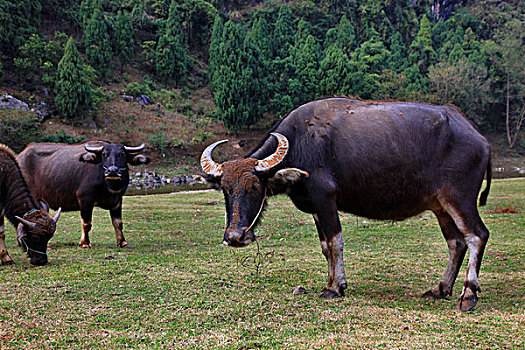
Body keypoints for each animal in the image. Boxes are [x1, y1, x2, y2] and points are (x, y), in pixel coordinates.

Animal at [17, 142, 149, 249]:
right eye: (104, 154)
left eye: (122, 154)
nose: (112, 171)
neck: (108, 186)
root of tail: (19, 157)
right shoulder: (85, 199)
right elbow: (87, 224)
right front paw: (85, 243)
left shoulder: (117, 200)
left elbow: (118, 223)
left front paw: (123, 242)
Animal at [201, 97, 492, 310]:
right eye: (225, 189)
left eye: (254, 187)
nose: (235, 237)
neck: (299, 142)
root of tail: (480, 139)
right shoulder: (316, 207)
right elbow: (325, 247)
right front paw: (331, 282)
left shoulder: (326, 199)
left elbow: (335, 242)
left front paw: (335, 287)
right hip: (440, 206)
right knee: (456, 242)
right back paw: (440, 289)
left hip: (459, 198)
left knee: (477, 235)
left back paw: (468, 295)